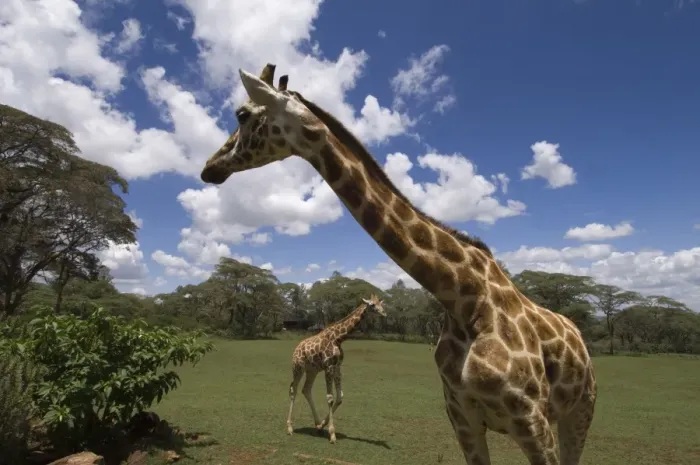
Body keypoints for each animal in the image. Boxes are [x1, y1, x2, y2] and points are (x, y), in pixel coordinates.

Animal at [286, 294, 386, 444]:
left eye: (380, 303)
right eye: (372, 305)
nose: (384, 313)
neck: (339, 339)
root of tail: (296, 348)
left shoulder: (337, 367)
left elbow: (340, 397)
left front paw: (323, 425)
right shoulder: (328, 366)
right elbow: (330, 398)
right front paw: (332, 435)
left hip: (312, 370)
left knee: (306, 389)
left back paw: (317, 425)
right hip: (298, 367)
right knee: (294, 389)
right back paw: (290, 428)